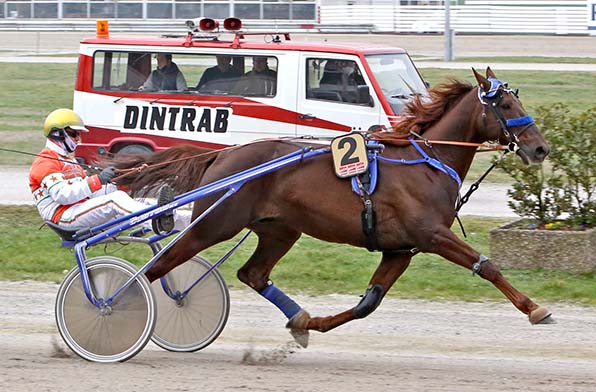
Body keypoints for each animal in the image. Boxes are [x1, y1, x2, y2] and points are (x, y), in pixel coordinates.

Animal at [110, 68, 556, 346]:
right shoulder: (432, 235)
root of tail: (222, 154)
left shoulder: (401, 249)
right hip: (214, 224)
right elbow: (488, 266)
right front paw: (536, 309)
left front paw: (314, 323)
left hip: (279, 230)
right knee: (157, 268)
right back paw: (114, 308)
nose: (540, 148)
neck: (426, 162)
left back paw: (298, 316)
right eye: (506, 107)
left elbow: (367, 304)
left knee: (252, 273)